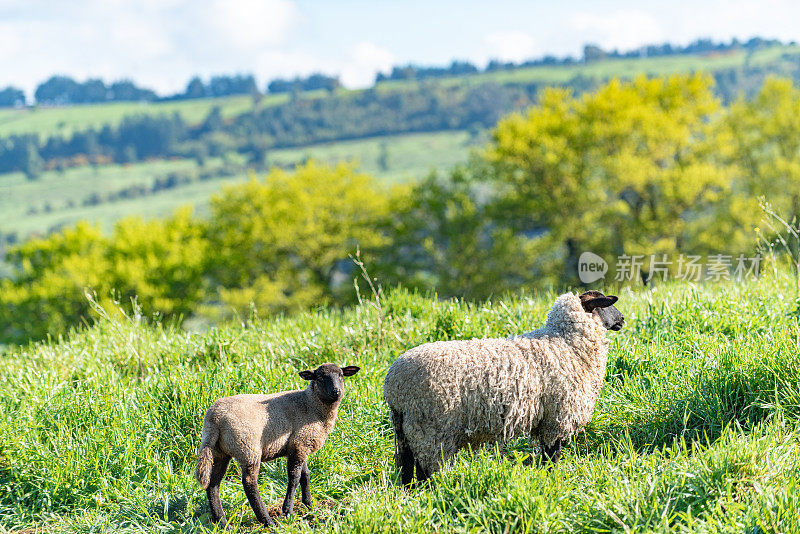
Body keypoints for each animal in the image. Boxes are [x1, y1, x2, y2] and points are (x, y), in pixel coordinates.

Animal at [195, 362, 358, 528]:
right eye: (319, 377)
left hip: (219, 451)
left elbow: (305, 475)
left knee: (213, 485)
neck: (310, 404)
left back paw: (223, 523)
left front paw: (309, 506)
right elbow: (294, 477)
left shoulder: (299, 444)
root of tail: (214, 419)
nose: (336, 391)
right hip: (248, 448)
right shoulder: (300, 444)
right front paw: (288, 510)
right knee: (249, 483)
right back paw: (267, 521)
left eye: (341, 375)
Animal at [382, 294, 624, 486]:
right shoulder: (556, 418)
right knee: (426, 470)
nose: (622, 320)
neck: (566, 343)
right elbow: (551, 455)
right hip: (430, 429)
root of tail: (395, 384)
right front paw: (550, 477)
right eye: (605, 303)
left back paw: (410, 493)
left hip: (405, 430)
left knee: (406, 467)